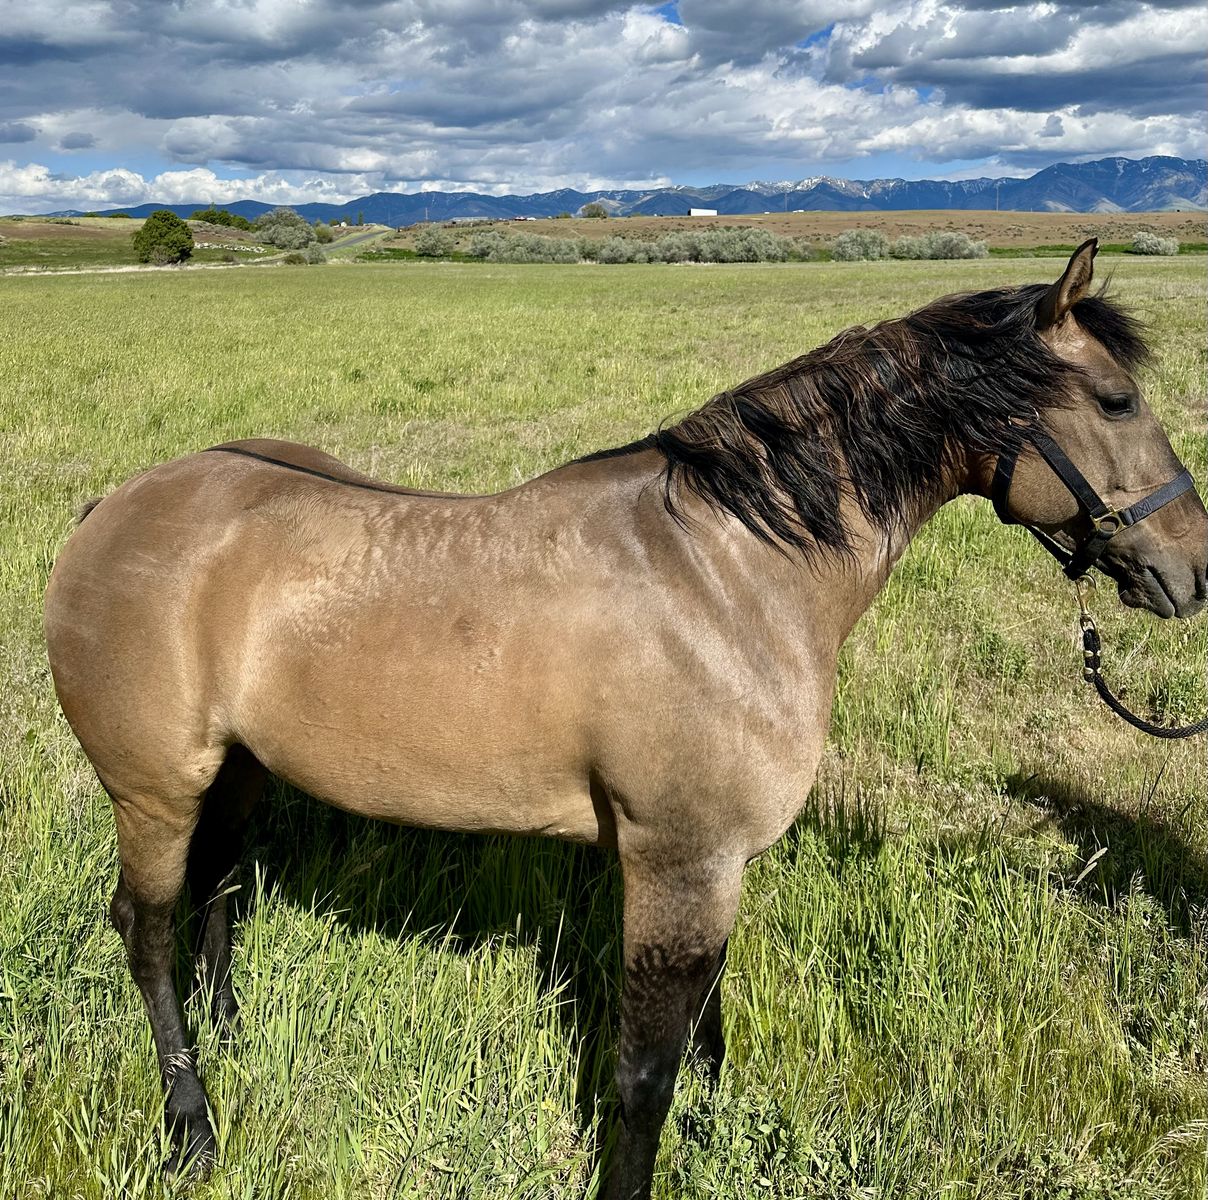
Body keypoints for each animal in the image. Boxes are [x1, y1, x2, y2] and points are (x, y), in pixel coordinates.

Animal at [44, 241, 1208, 1199]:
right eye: (1114, 400)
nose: (1190, 570)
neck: (727, 571)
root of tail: (117, 507)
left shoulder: (712, 864)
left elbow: (700, 1039)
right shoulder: (678, 862)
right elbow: (644, 1072)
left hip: (234, 773)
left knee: (219, 888)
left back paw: (230, 1038)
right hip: (152, 791)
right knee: (148, 932)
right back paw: (192, 1127)